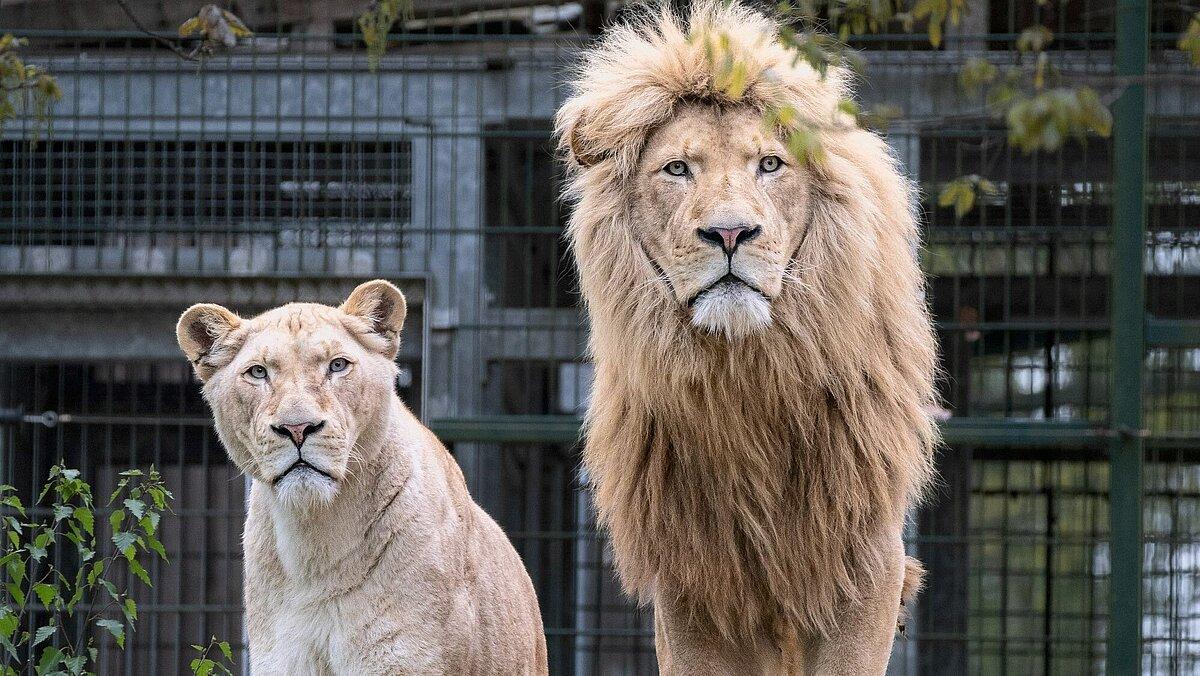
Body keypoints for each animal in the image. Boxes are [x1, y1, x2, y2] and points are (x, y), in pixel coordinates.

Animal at [556, 2, 940, 672]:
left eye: (770, 164)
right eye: (677, 169)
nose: (731, 233)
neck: (746, 380)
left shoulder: (862, 563)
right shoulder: (695, 578)